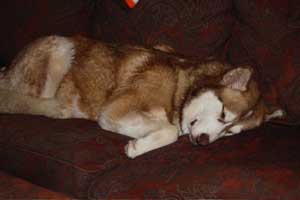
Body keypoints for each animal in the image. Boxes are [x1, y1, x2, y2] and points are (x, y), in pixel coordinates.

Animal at [0, 35, 284, 158]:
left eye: (229, 133)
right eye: (224, 113)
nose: (204, 142)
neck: (180, 88)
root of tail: (8, 67)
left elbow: (168, 128)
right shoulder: (115, 110)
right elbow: (170, 130)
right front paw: (138, 147)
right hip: (60, 48)